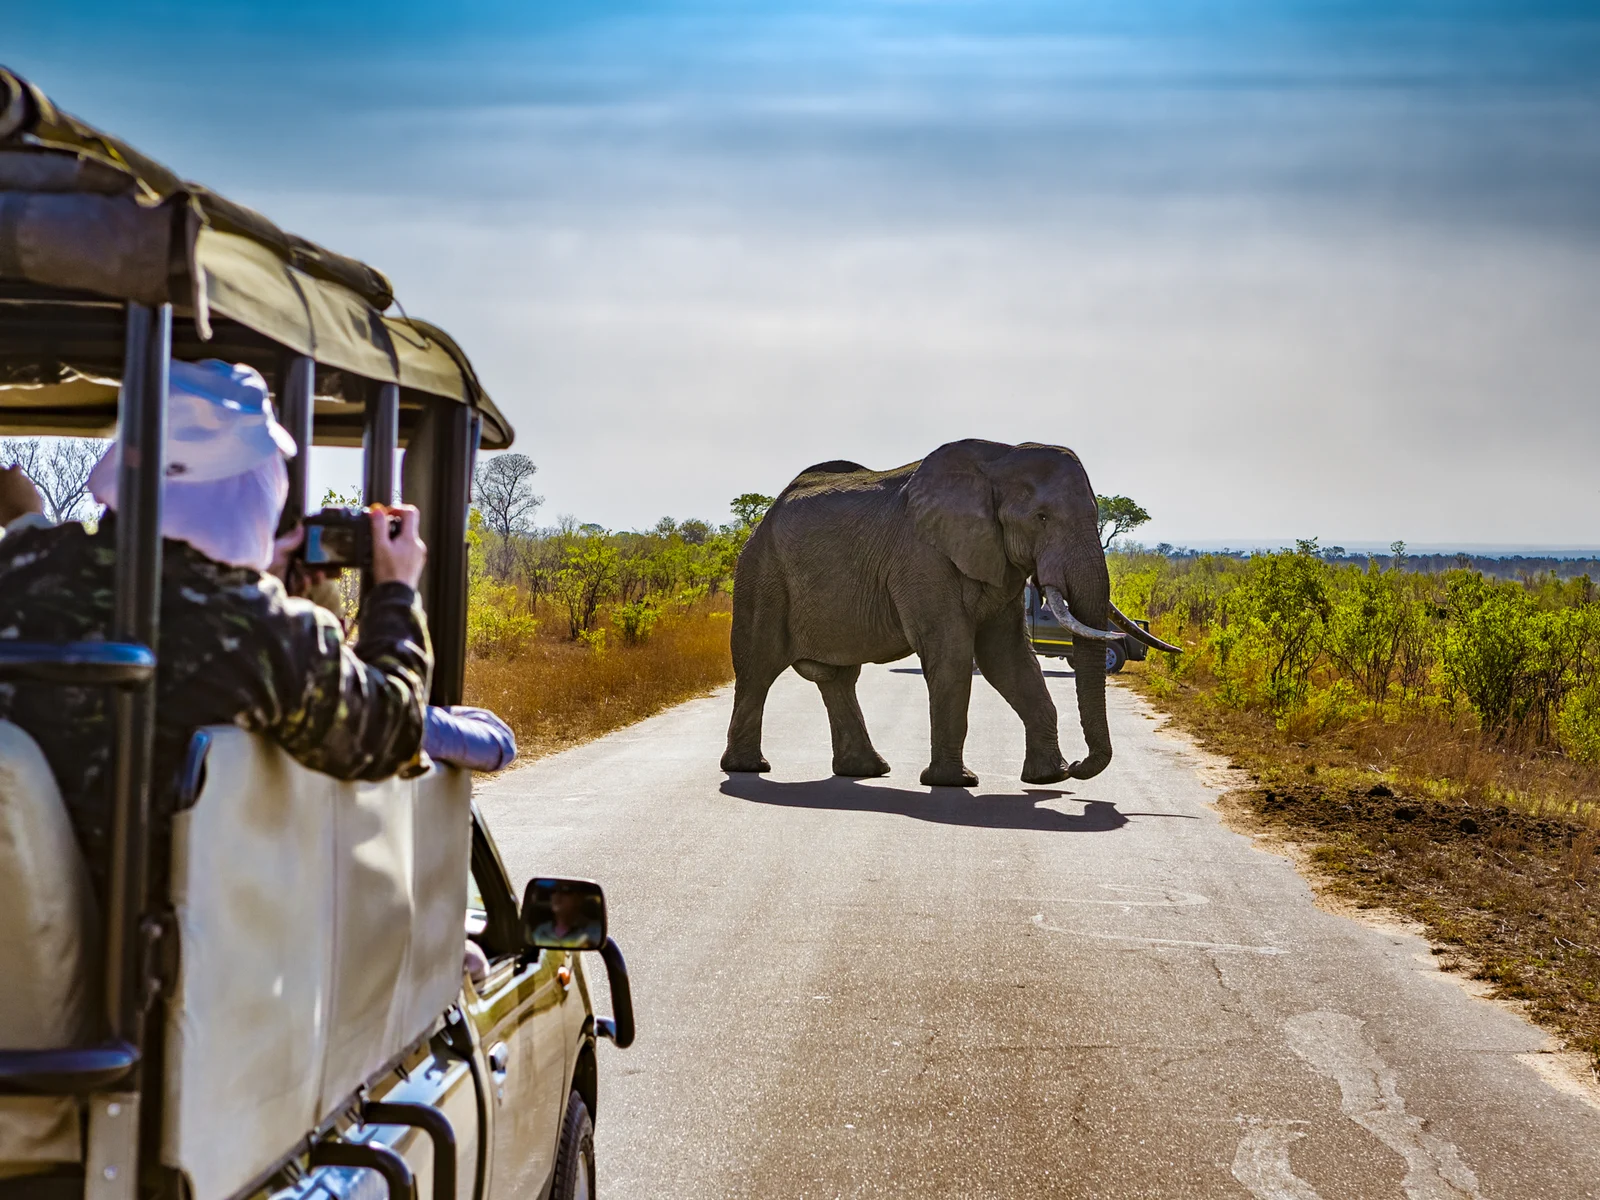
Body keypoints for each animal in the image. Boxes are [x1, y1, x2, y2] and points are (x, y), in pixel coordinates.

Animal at [720, 438, 1184, 790]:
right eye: (1041, 517)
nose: (1080, 768)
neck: (998, 462)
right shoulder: (921, 557)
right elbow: (952, 655)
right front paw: (954, 782)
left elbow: (1009, 659)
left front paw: (1048, 779)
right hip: (761, 574)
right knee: (758, 666)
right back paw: (748, 768)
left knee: (836, 678)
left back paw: (867, 771)